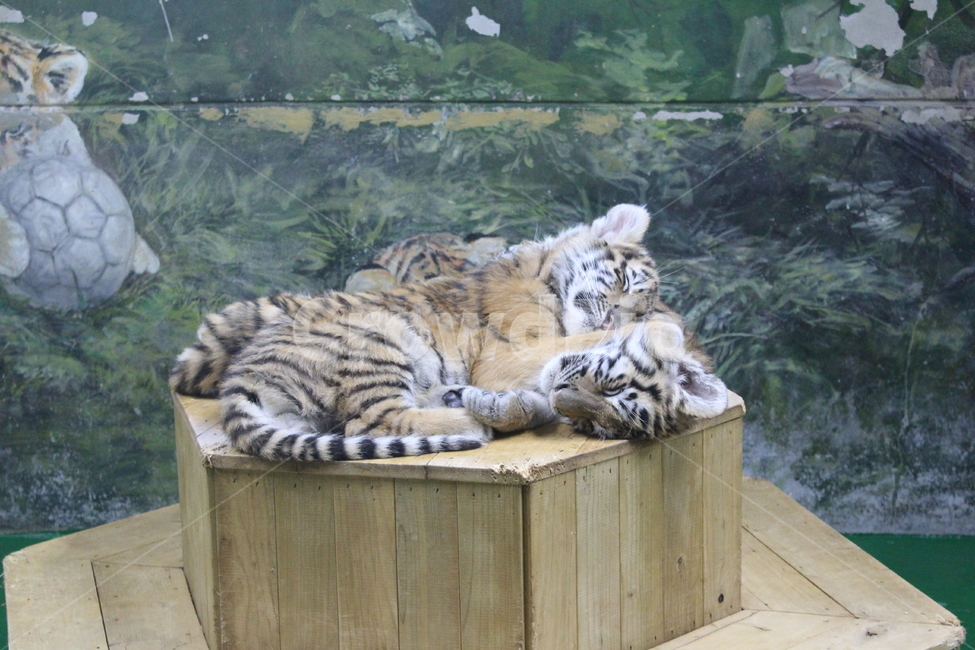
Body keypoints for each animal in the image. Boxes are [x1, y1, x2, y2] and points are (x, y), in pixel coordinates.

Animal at [169, 204, 717, 462]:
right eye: (623, 282)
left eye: (630, 308)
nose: (610, 321)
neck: (545, 275)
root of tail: (243, 376)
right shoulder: (510, 353)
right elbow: (570, 343)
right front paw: (667, 331)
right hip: (379, 339)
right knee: (374, 423)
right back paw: (470, 423)